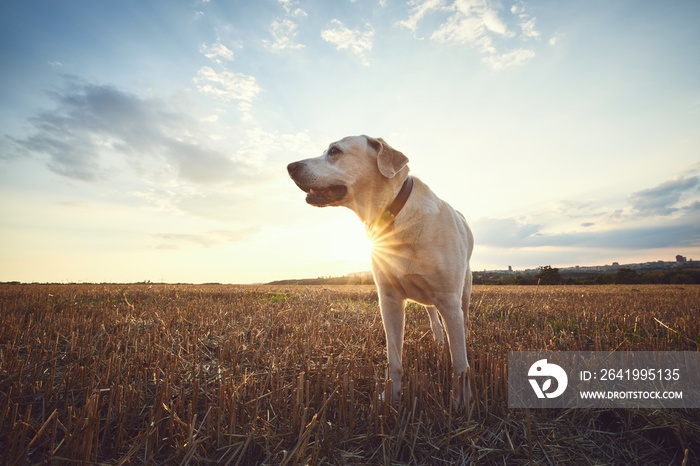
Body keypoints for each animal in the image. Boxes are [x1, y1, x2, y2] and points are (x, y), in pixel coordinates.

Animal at [286, 134, 476, 404]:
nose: (290, 167)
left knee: (463, 323)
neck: (396, 215)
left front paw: (461, 401)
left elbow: (459, 362)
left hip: (464, 292)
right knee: (433, 318)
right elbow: (394, 358)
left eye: (334, 151)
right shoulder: (389, 299)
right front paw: (391, 396)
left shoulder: (449, 300)